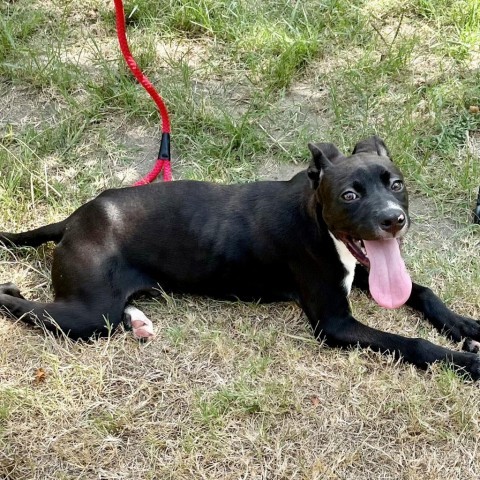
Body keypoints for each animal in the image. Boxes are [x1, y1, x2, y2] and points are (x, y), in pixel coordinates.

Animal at [0, 136, 480, 378]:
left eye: (396, 184)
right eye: (350, 195)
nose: (394, 220)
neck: (315, 215)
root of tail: (75, 218)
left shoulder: (355, 271)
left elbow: (422, 291)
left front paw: (466, 327)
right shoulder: (335, 322)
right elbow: (411, 342)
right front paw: (467, 362)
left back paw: (137, 321)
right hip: (88, 313)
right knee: (34, 309)